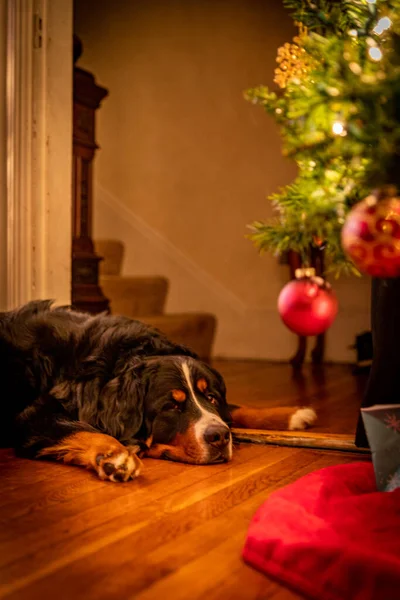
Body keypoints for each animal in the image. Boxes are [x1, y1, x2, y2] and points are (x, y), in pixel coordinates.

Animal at [0, 300, 318, 482]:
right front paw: (116, 455)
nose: (219, 437)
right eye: (171, 406)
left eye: (211, 397)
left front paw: (293, 414)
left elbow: (234, 409)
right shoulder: (34, 416)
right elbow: (81, 429)